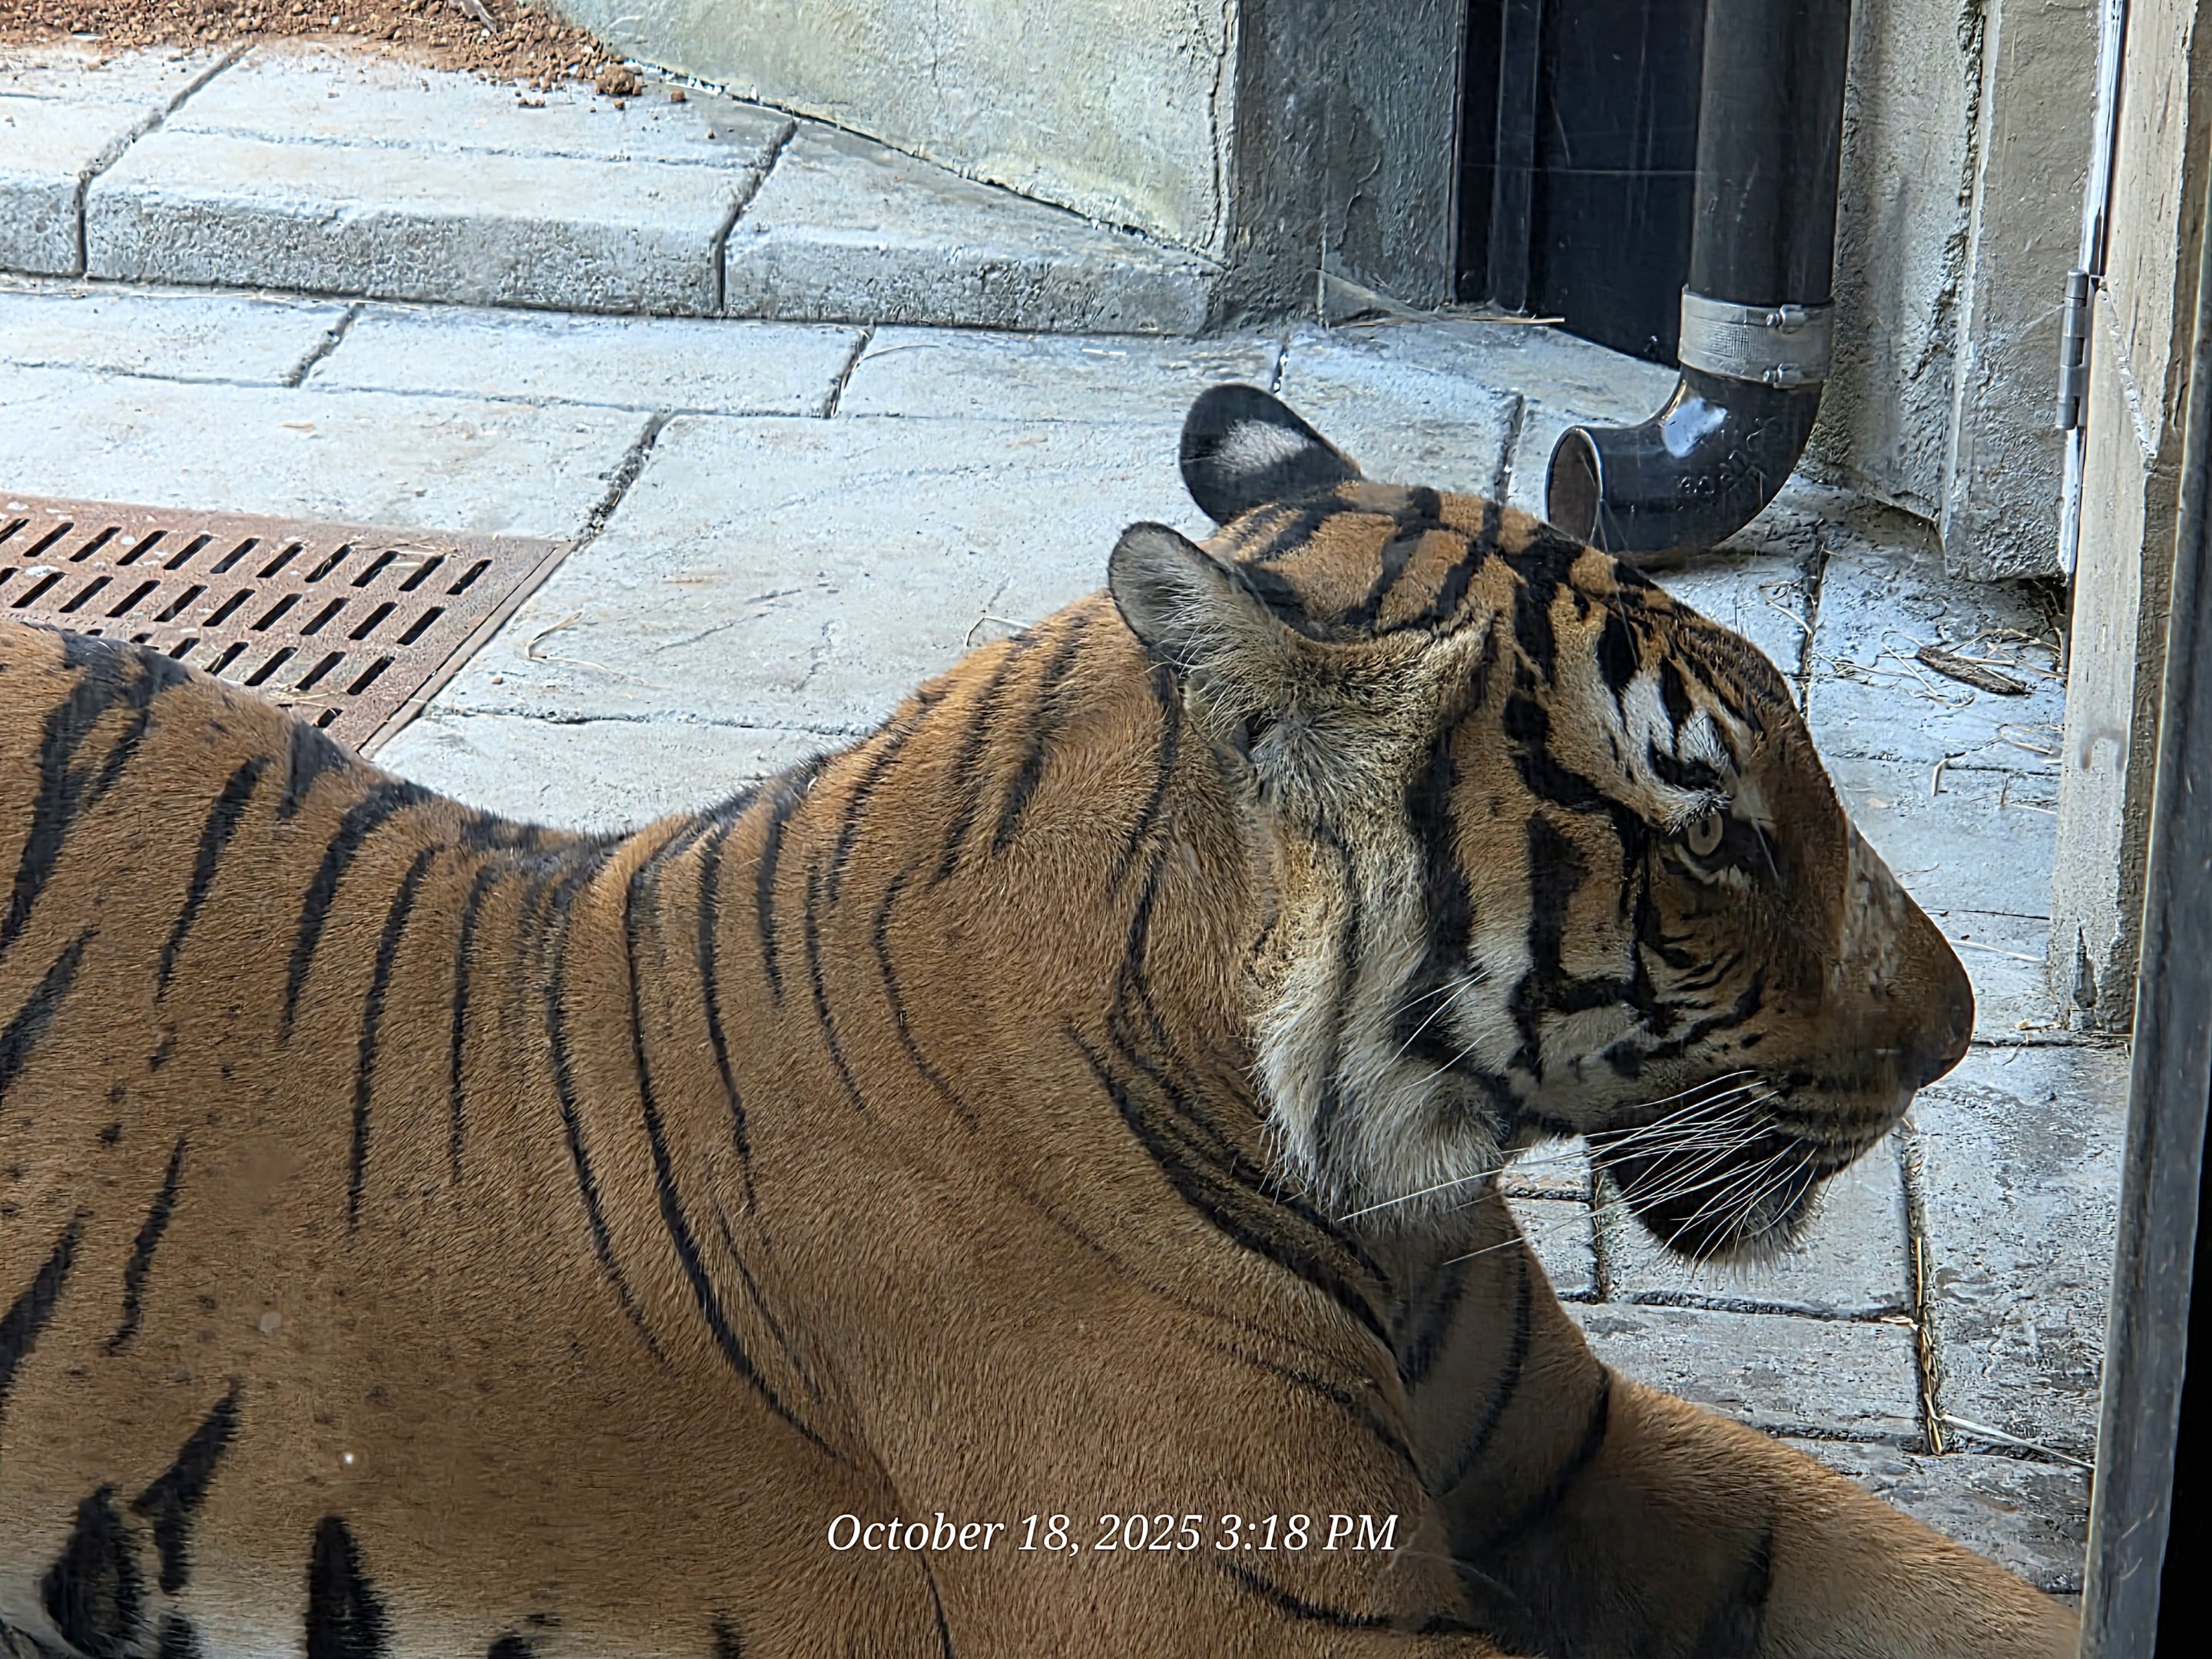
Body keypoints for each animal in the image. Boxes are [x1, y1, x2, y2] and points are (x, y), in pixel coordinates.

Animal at [0, 382, 2074, 1658]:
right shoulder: (1257, 1614)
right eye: (1708, 826)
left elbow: (1928, 1579)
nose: (1960, 1031)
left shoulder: (1586, 1455)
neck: (1388, 1184)